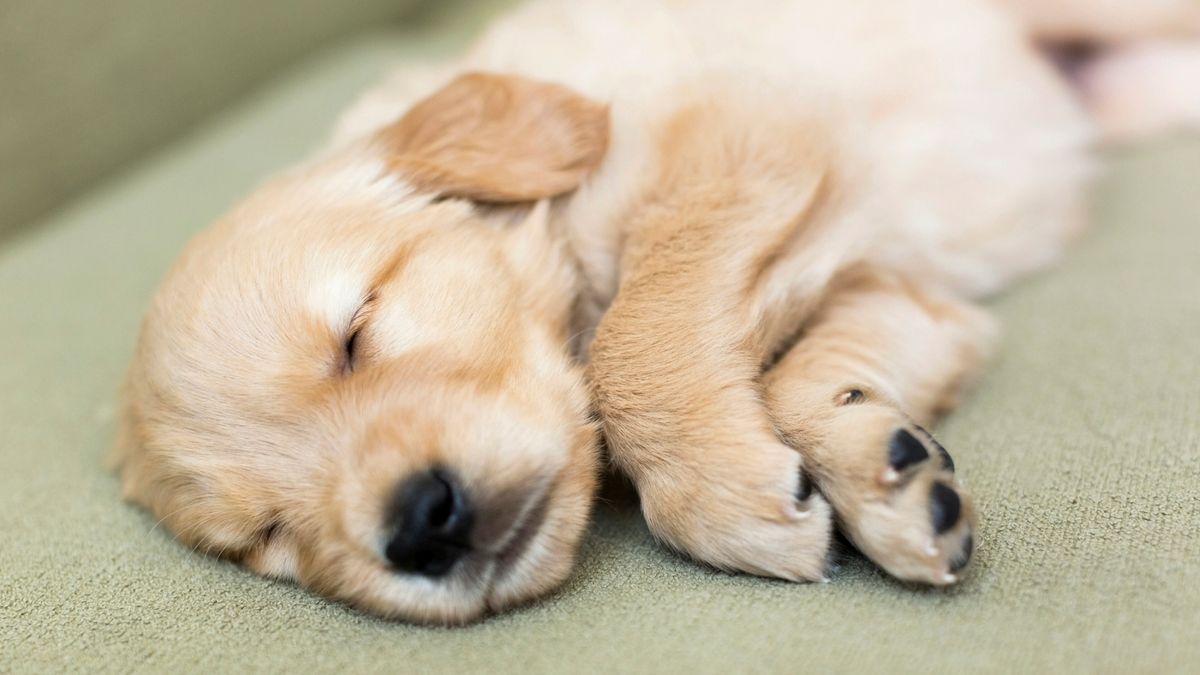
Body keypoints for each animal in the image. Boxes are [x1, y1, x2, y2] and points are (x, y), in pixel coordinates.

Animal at [114, 0, 1200, 619]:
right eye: (265, 540)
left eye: (359, 328)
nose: (421, 526)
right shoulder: (907, 292)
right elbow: (822, 371)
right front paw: (882, 466)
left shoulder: (750, 135)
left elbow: (638, 337)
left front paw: (717, 490)